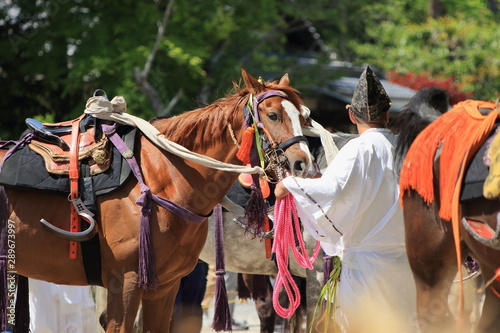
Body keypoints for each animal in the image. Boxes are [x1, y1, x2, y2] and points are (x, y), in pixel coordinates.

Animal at [0, 67, 314, 330]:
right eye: (273, 116)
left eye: (303, 117)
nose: (303, 164)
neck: (163, 177)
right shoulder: (124, 282)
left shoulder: (165, 286)